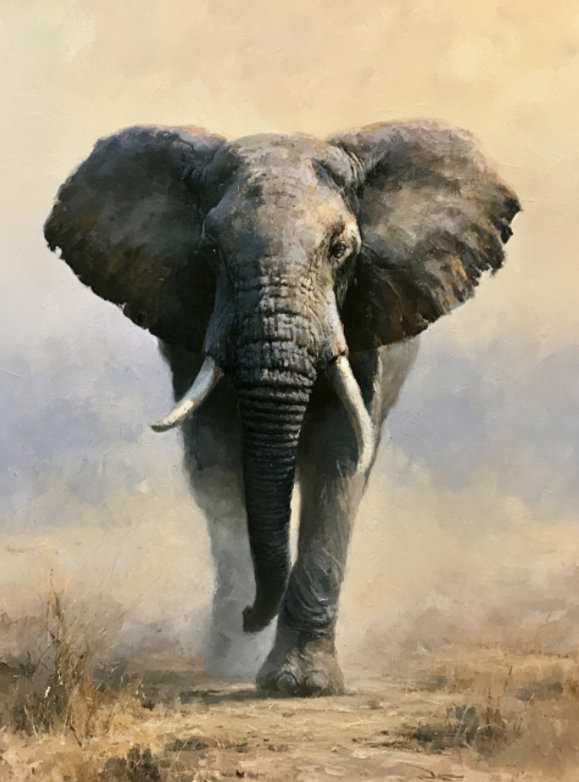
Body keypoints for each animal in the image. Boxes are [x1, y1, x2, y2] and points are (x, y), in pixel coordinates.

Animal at [44, 120, 519, 696]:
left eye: (341, 249)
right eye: (210, 250)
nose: (251, 615)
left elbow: (339, 461)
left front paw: (301, 683)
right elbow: (221, 464)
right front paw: (240, 652)